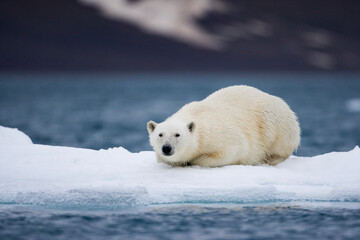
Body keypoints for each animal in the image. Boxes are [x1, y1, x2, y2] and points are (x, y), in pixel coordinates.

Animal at [147, 86, 300, 167]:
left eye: (177, 134)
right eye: (160, 134)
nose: (166, 148)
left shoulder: (218, 135)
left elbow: (231, 151)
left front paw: (192, 161)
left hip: (275, 121)